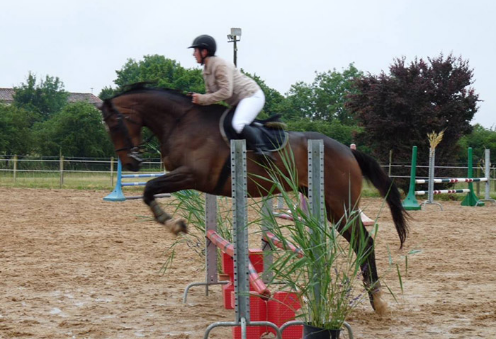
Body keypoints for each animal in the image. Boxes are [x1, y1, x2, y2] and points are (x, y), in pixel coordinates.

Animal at [99, 85, 408, 316]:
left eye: (115, 123)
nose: (131, 163)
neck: (181, 122)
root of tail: (348, 151)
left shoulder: (192, 175)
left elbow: (150, 187)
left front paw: (171, 223)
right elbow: (150, 190)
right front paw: (172, 222)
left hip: (340, 205)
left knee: (364, 241)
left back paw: (377, 299)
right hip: (329, 206)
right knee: (359, 242)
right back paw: (374, 297)